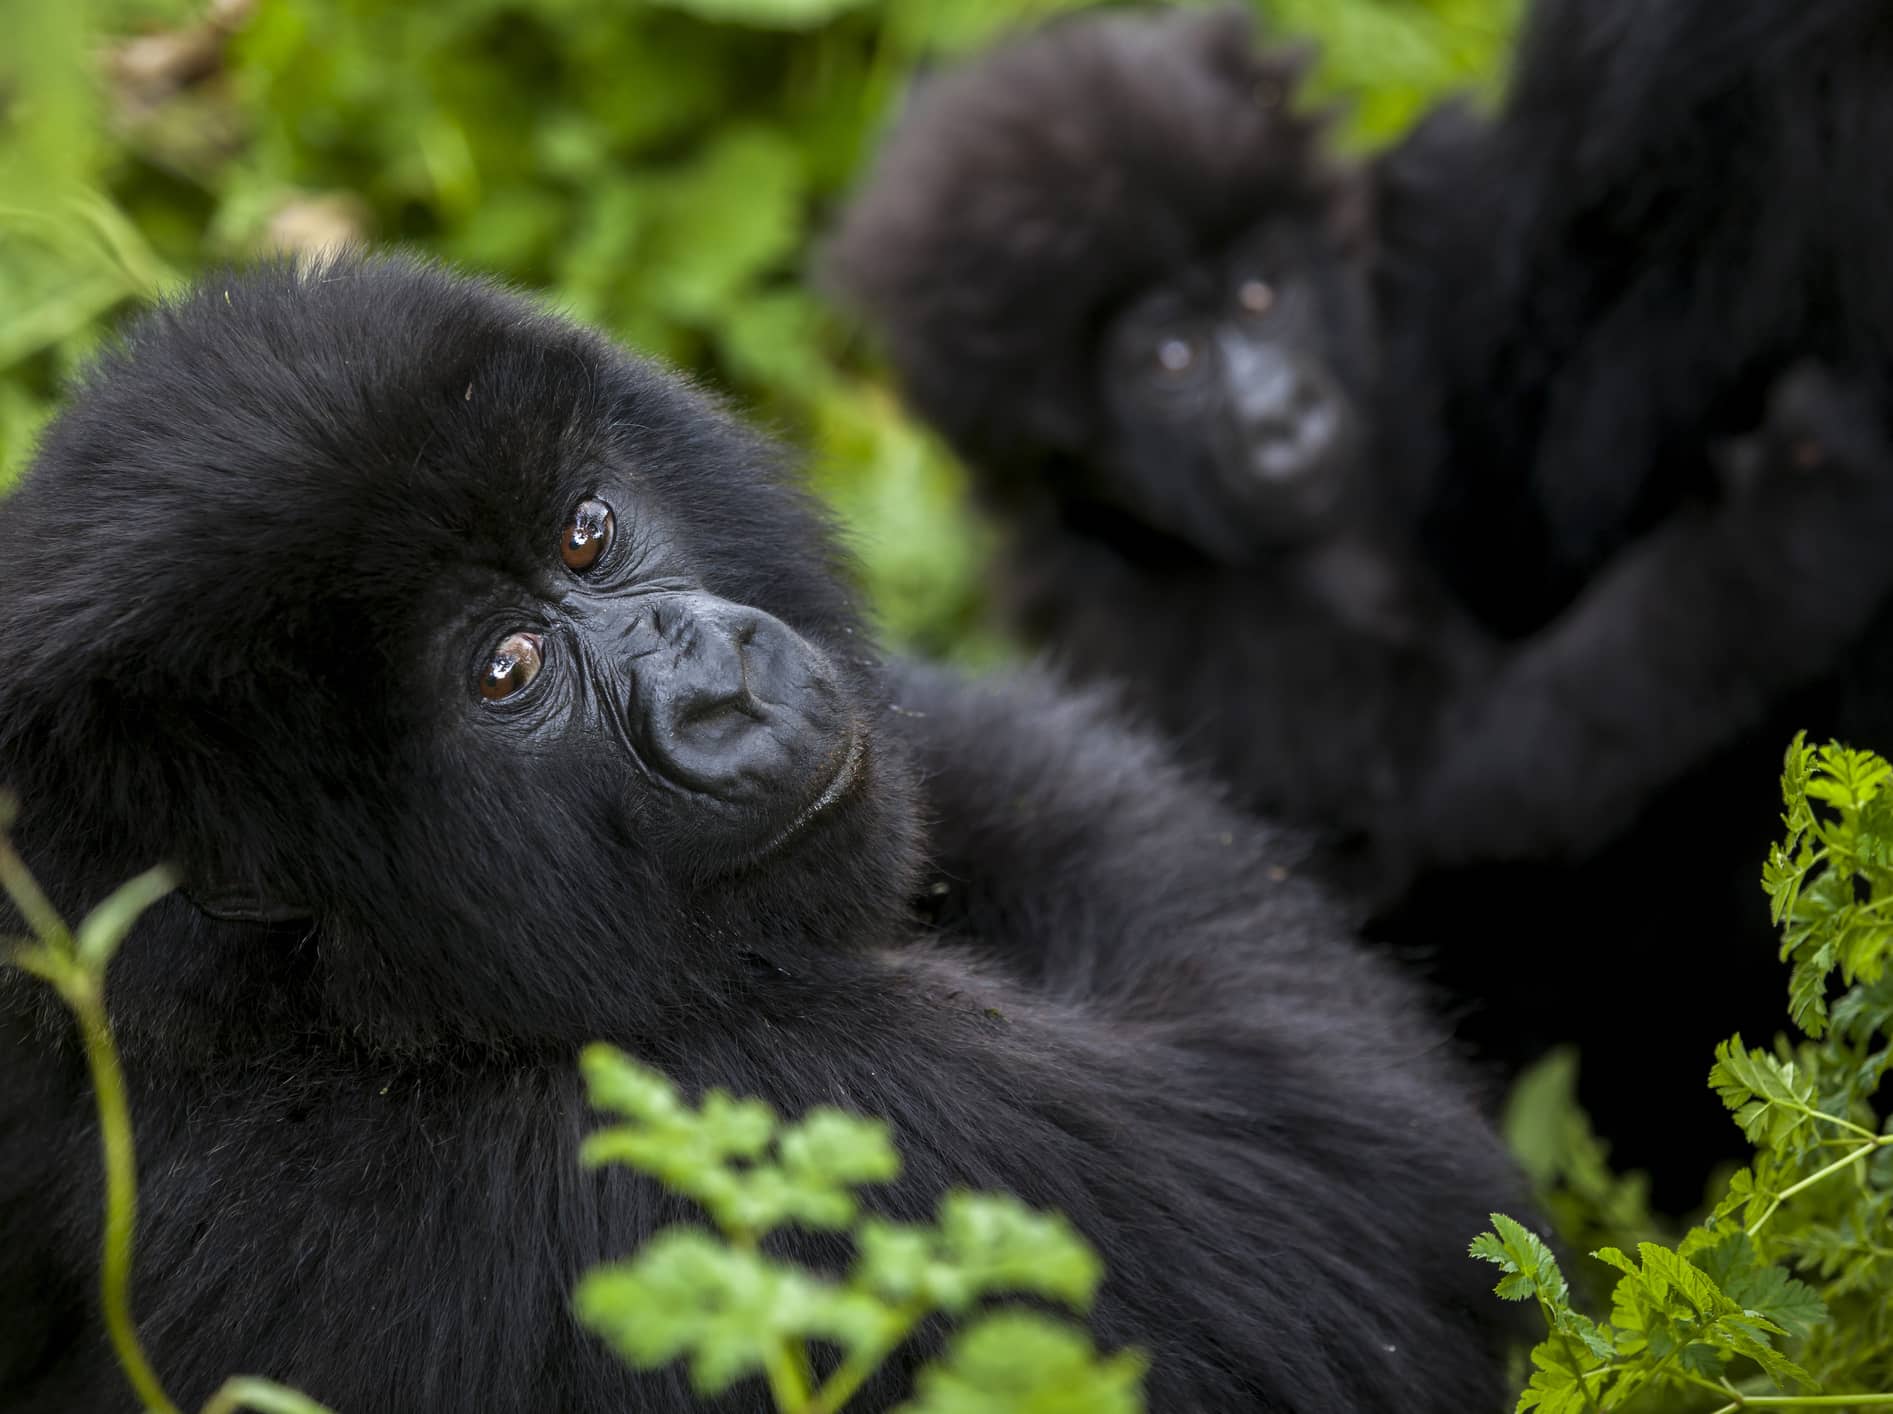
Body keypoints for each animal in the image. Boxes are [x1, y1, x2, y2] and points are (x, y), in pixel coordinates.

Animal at [0, 257, 1521, 1414]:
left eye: (588, 534)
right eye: (505, 670)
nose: (717, 683)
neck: (292, 1017)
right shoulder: (806, 1115)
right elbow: (1360, 1196)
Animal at [829, 2, 1893, 1203]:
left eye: (1260, 294)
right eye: (1170, 358)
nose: (1281, 414)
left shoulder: (1419, 247)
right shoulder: (1182, 630)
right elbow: (1470, 771)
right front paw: (1797, 523)